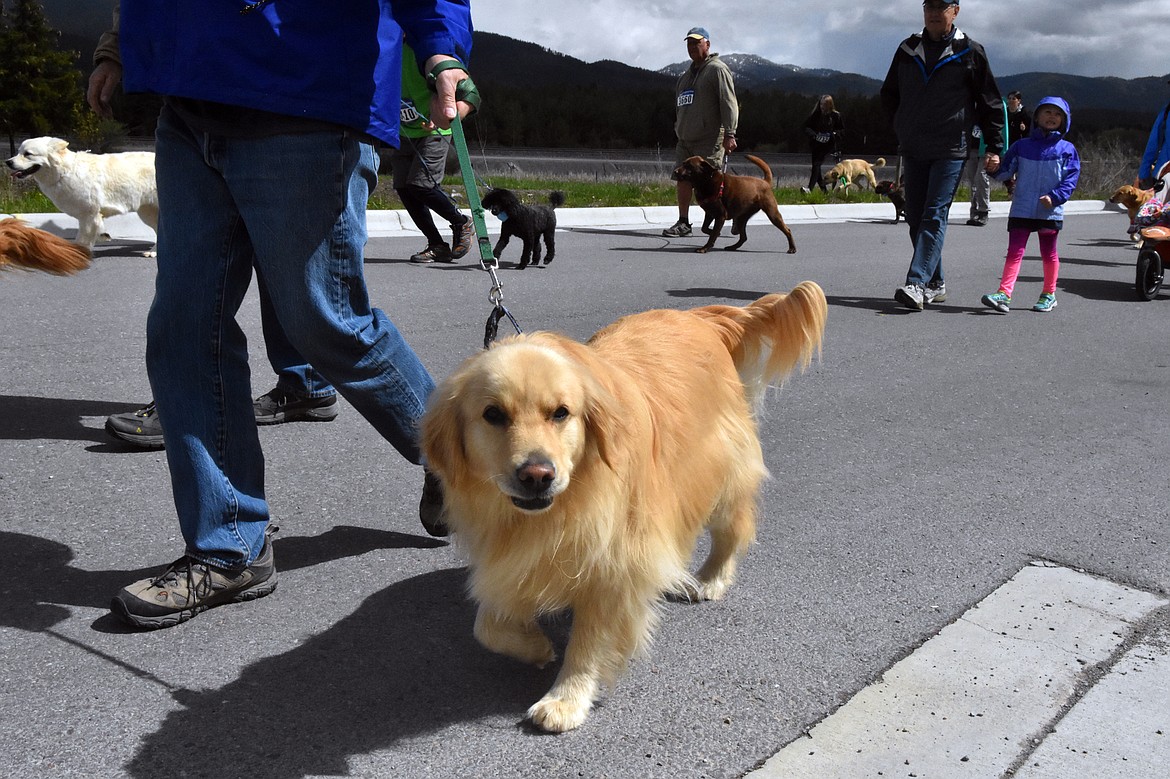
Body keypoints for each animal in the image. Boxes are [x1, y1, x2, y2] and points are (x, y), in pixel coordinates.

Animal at [4, 135, 157, 251]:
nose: (8, 162)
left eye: (28, 154)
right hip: (146, 212)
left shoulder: (88, 215)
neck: (65, 171)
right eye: (18, 152)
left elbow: (82, 239)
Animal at [418, 281, 823, 729]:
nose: (537, 474)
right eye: (492, 414)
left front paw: (566, 697)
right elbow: (486, 625)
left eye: (561, 413)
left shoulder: (616, 563)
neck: (565, 505)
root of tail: (701, 318)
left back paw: (710, 578)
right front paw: (535, 646)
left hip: (718, 473)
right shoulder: (517, 556)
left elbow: (590, 640)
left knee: (733, 529)